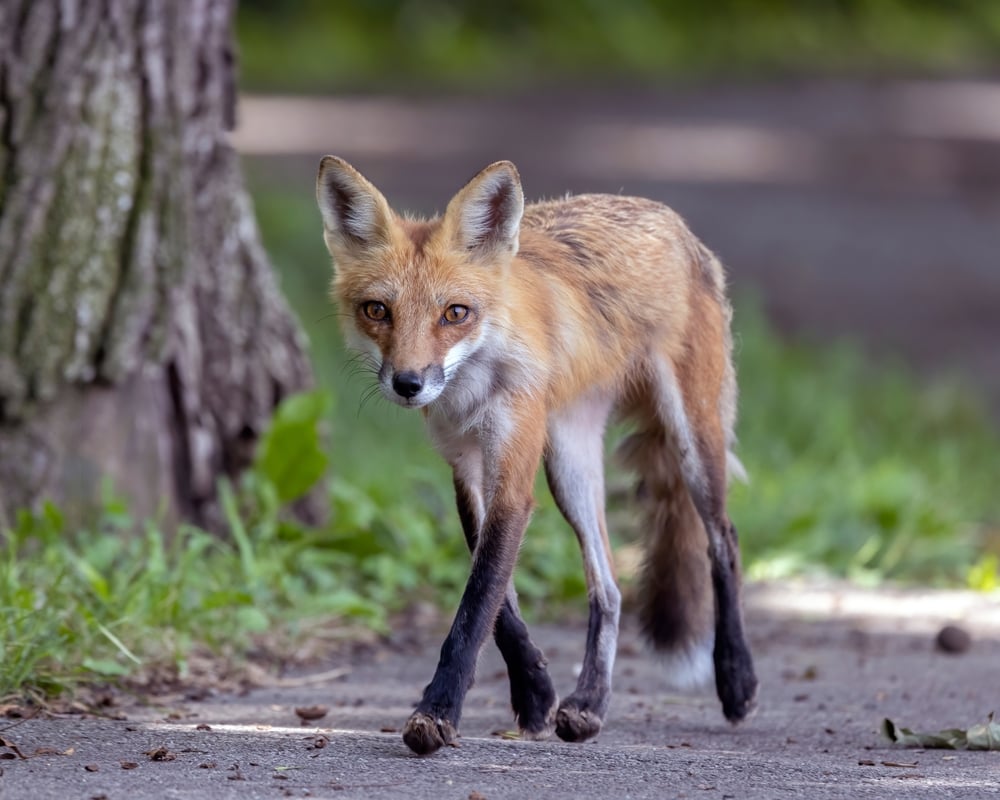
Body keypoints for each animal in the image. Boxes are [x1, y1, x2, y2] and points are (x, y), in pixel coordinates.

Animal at [315, 156, 758, 755]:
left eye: (455, 313)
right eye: (377, 311)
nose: (408, 384)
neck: (474, 385)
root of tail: (670, 219)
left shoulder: (513, 470)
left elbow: (476, 603)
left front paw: (438, 711)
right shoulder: (466, 466)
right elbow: (501, 607)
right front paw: (535, 693)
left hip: (692, 440)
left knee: (724, 542)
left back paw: (736, 678)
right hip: (570, 465)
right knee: (609, 587)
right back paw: (589, 703)